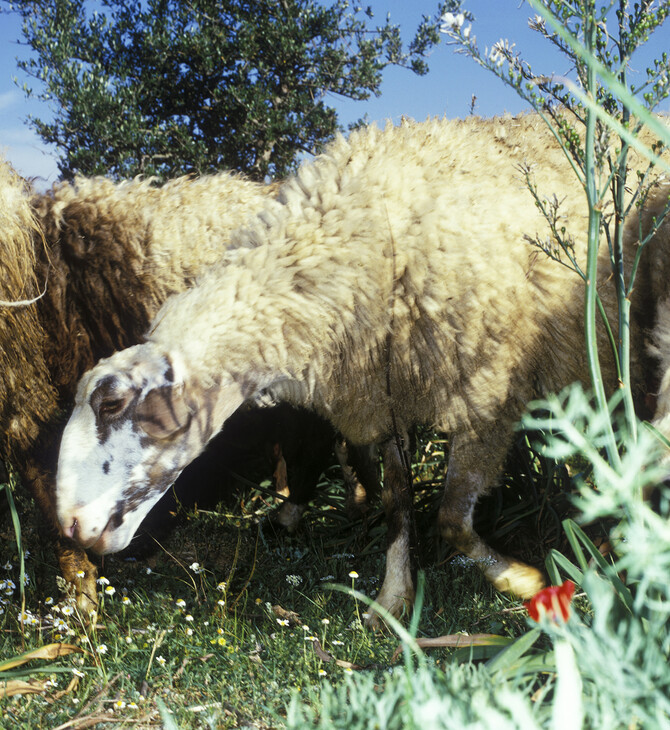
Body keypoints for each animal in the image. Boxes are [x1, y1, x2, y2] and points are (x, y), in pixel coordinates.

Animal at [53, 115, 670, 620]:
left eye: (112, 402)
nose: (70, 527)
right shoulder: (381, 395)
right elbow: (399, 505)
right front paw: (394, 597)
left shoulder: (486, 392)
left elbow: (450, 515)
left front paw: (519, 578)